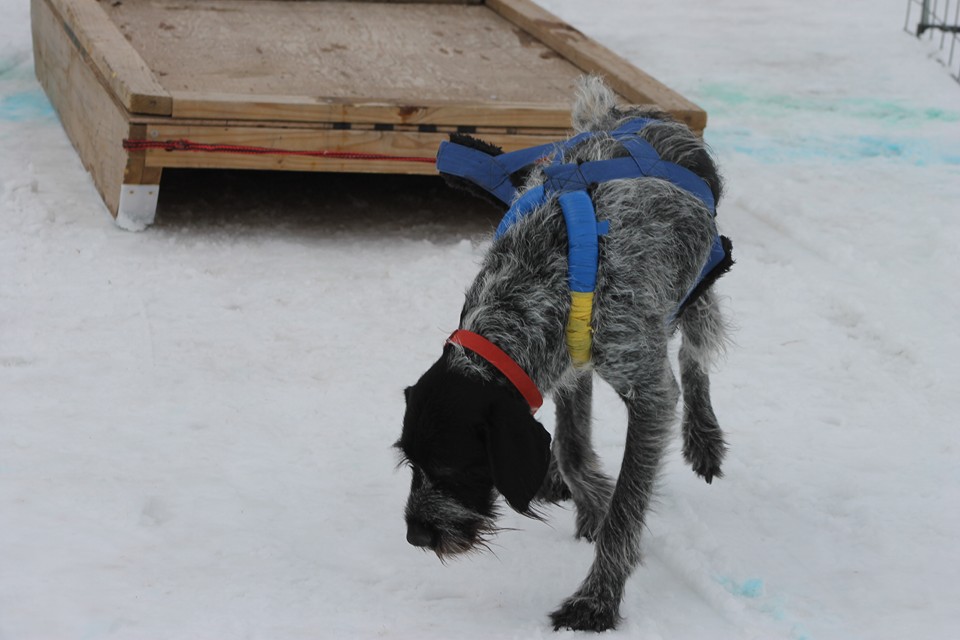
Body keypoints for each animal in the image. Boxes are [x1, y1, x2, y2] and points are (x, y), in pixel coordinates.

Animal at [394, 77, 732, 632]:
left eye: (450, 466)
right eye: (410, 462)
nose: (417, 536)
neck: (532, 279)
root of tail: (628, 114)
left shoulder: (647, 391)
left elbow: (627, 504)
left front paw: (597, 597)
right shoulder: (563, 363)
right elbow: (573, 449)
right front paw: (588, 499)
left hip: (699, 286)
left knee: (695, 355)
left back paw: (703, 436)